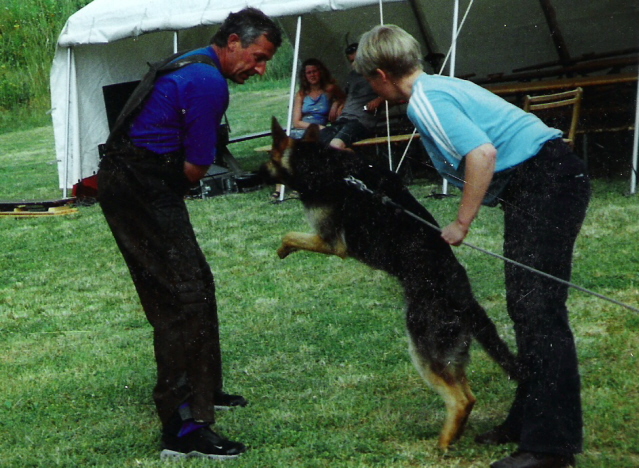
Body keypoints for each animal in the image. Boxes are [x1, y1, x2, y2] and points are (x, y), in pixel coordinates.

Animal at [262, 117, 521, 449]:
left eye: (268, 159)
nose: (253, 176)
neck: (321, 162)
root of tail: (464, 298)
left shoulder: (331, 242)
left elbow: (290, 235)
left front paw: (283, 250)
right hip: (451, 353)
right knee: (468, 395)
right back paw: (452, 437)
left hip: (423, 348)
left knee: (460, 399)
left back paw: (442, 444)